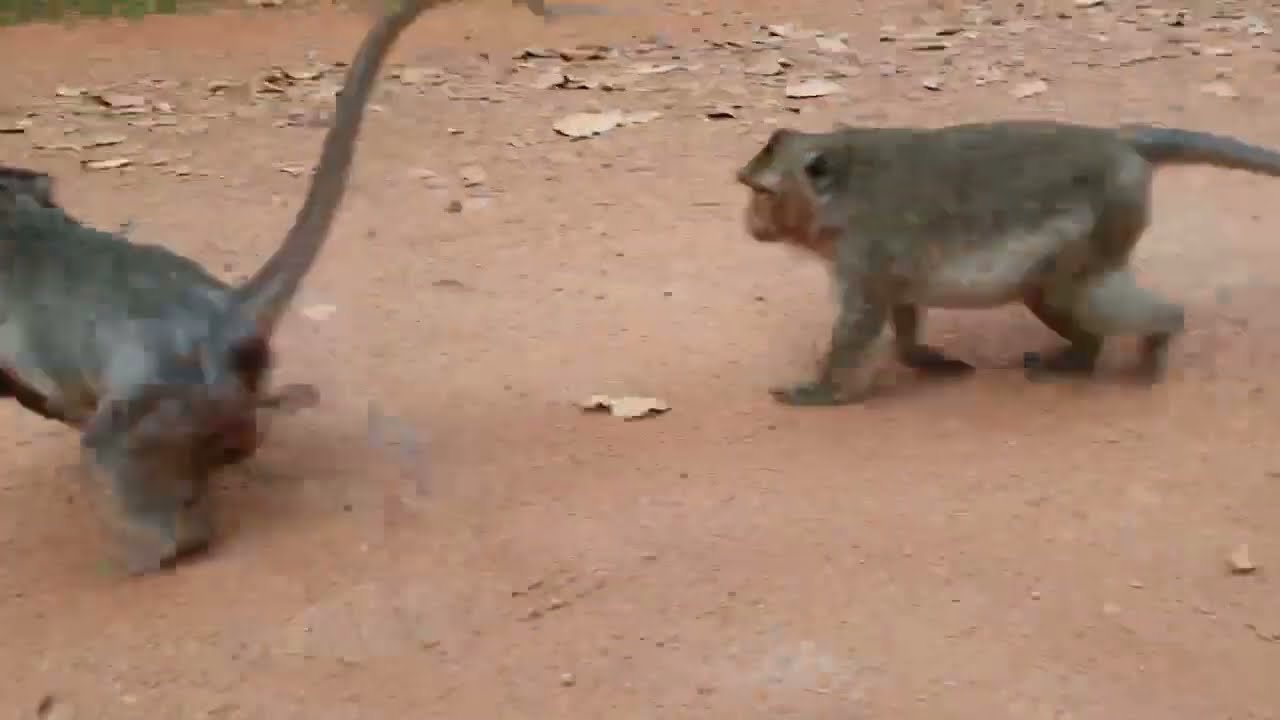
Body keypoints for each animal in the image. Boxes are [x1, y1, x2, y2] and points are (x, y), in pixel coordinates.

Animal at [735, 120, 1280, 406]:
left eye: (763, 193)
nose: (749, 221)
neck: (841, 192)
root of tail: (1115, 139)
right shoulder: (880, 260)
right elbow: (901, 303)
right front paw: (920, 358)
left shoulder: (864, 248)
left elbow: (860, 322)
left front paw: (821, 390)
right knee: (1047, 291)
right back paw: (1080, 358)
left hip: (1110, 213)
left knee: (1075, 291)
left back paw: (1161, 332)